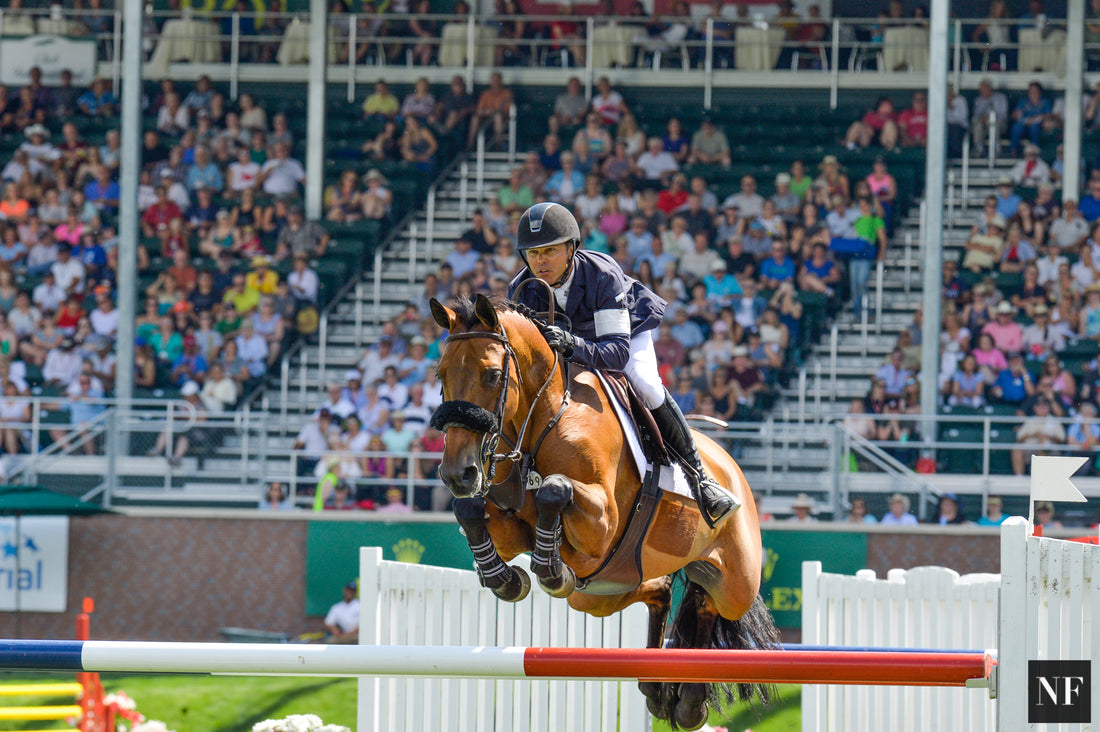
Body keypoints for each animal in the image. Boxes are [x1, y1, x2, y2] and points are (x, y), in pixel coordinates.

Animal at [424, 292, 778, 730]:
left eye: (491, 375)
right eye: (441, 375)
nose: (458, 473)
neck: (545, 416)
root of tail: (729, 465)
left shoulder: (603, 522)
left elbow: (554, 490)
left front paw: (549, 569)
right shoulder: (511, 528)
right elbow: (471, 510)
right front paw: (505, 578)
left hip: (736, 584)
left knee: (712, 604)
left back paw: (691, 699)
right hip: (600, 592)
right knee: (663, 591)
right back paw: (662, 691)